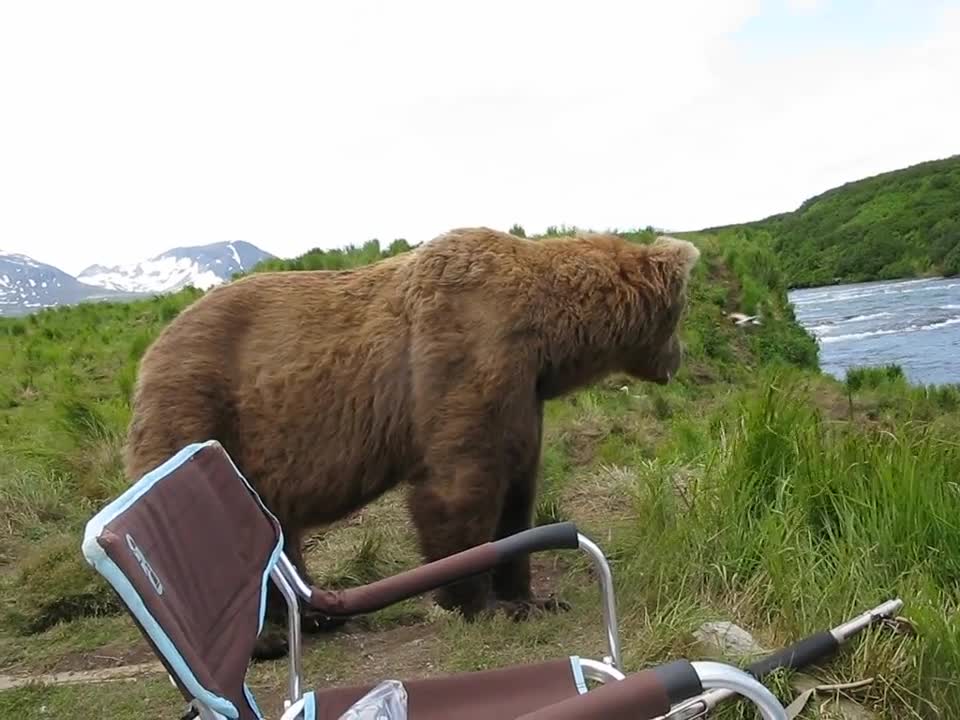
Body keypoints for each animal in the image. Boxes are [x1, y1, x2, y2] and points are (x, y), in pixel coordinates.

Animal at [125, 226, 696, 660]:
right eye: (680, 313)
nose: (679, 359)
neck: (545, 333)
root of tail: (150, 353)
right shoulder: (461, 355)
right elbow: (459, 487)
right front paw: (480, 603)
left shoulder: (522, 395)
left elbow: (518, 492)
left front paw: (531, 598)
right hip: (201, 414)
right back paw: (266, 639)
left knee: (278, 532)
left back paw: (313, 617)